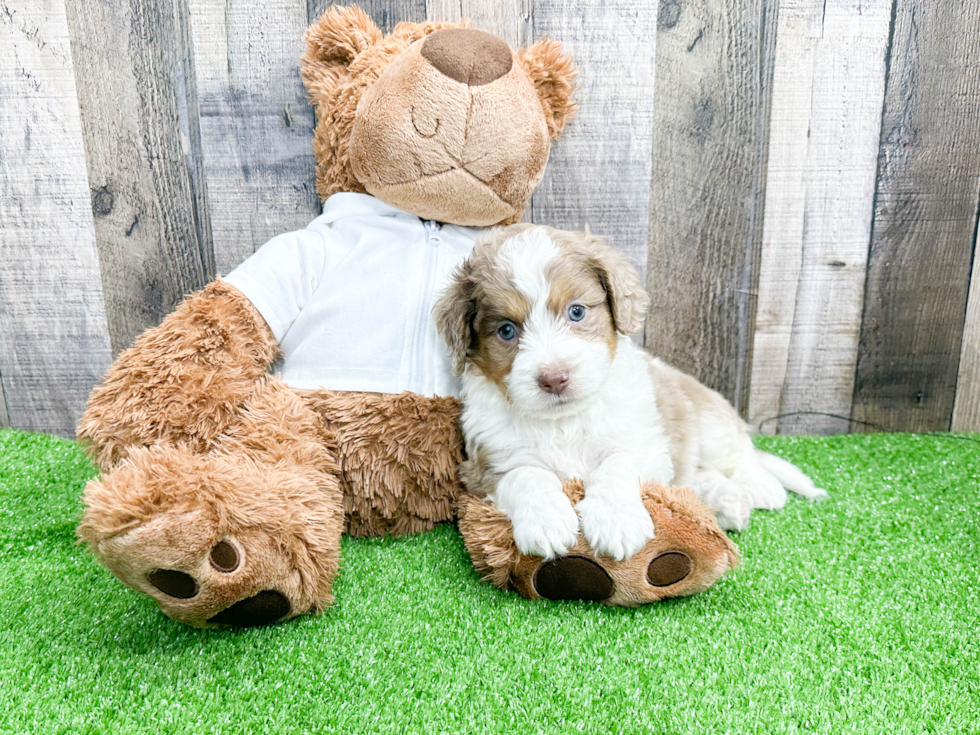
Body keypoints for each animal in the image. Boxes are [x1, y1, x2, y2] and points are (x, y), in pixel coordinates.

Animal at [432, 227, 824, 560]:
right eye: (507, 331)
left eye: (577, 311)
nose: (554, 379)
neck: (563, 421)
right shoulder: (484, 463)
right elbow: (526, 474)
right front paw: (546, 521)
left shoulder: (644, 443)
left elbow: (615, 465)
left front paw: (616, 521)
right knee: (696, 477)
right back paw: (729, 503)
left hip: (710, 423)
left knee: (741, 455)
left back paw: (761, 487)